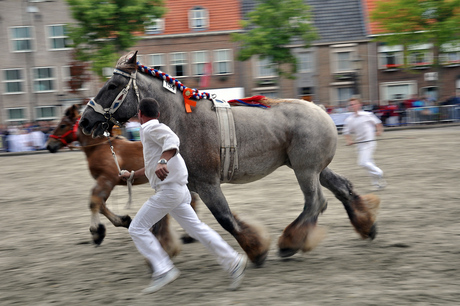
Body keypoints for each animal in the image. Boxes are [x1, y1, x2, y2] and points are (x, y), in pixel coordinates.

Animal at [45, 104, 190, 256]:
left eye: (62, 125)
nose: (49, 145)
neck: (99, 147)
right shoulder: (107, 181)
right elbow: (101, 205)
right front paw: (123, 221)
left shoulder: (107, 179)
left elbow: (94, 201)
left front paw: (96, 233)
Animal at [80, 51, 380, 266]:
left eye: (113, 85)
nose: (85, 120)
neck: (182, 122)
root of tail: (320, 109)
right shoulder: (180, 185)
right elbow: (159, 221)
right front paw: (162, 251)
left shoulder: (207, 184)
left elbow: (225, 217)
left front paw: (257, 250)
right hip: (314, 169)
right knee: (342, 188)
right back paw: (366, 226)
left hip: (305, 171)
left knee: (316, 202)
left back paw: (289, 243)